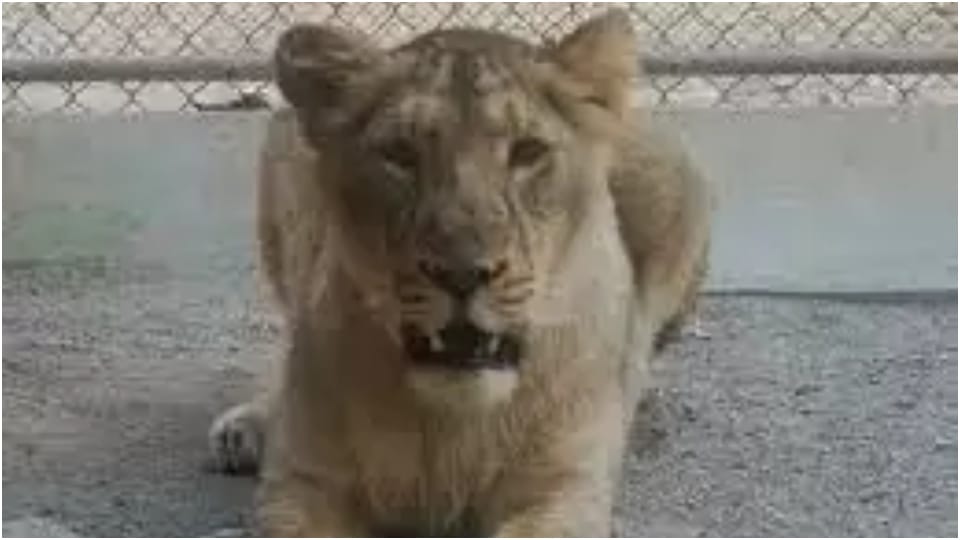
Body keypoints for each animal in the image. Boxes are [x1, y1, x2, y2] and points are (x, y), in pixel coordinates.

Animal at [208, 9, 710, 536]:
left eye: (527, 152)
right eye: (400, 154)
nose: (463, 273)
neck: (450, 427)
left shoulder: (560, 488)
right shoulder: (304, 484)